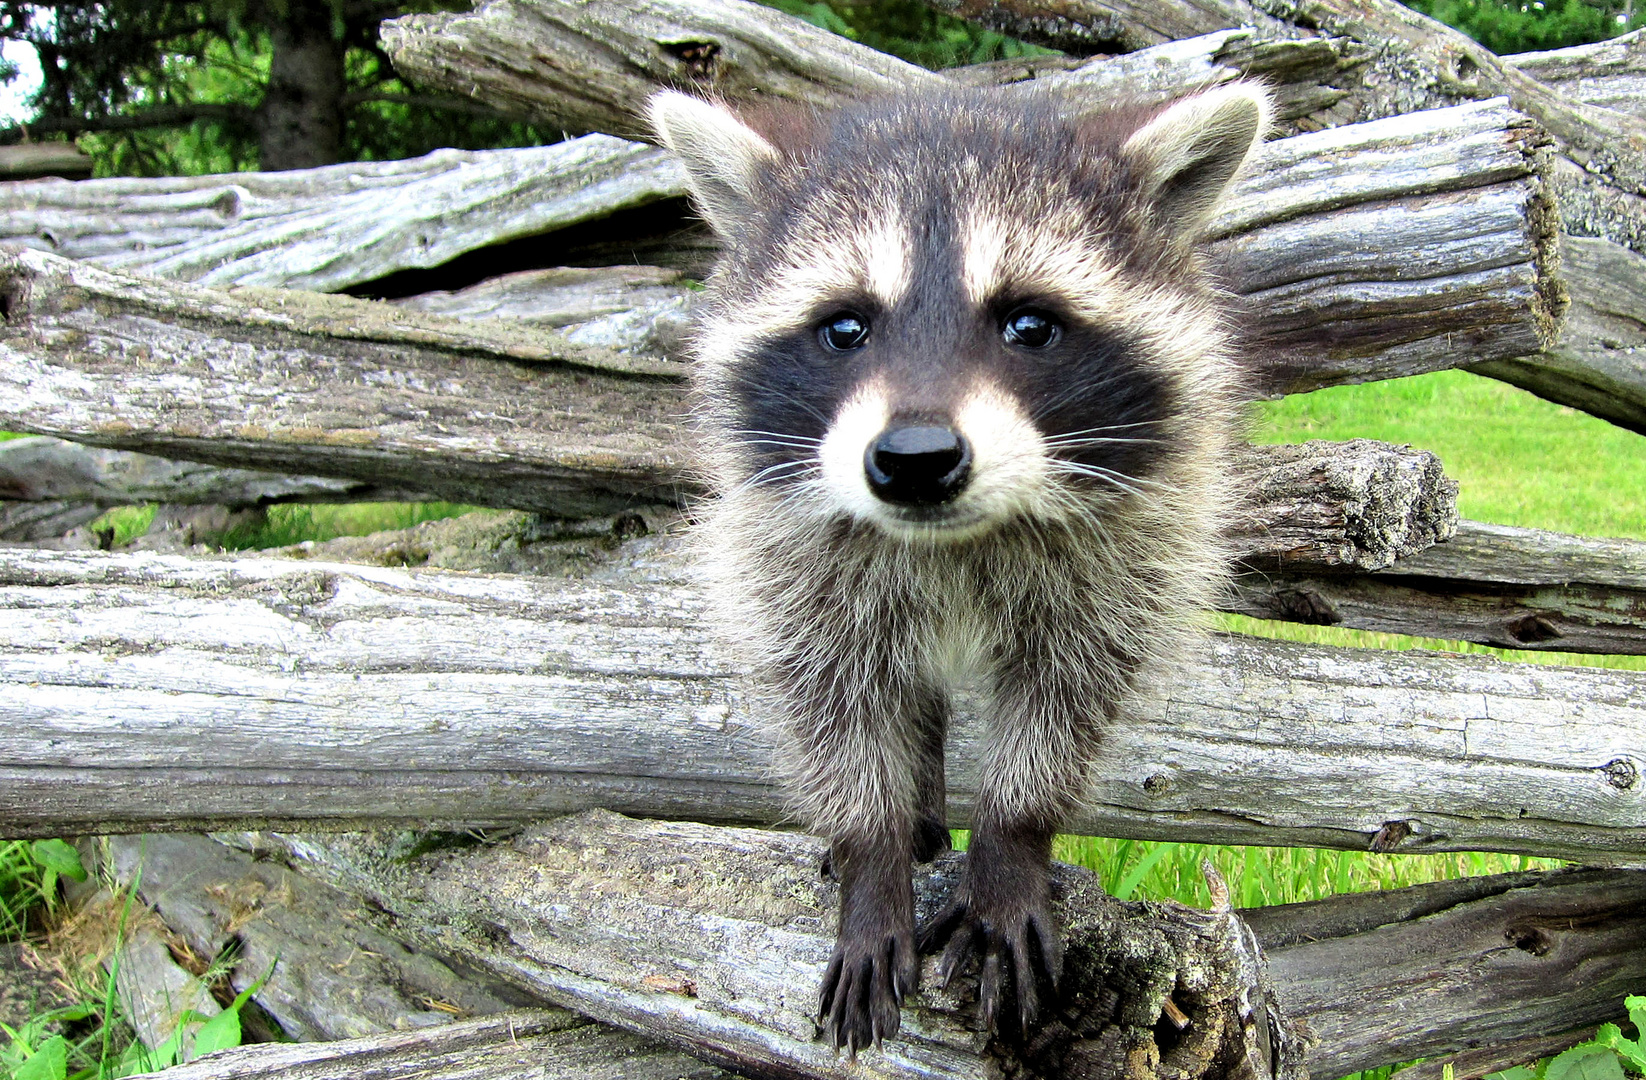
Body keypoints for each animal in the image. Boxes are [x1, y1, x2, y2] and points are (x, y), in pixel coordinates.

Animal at [648, 82, 1264, 1053]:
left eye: (1029, 324)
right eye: (845, 327)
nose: (914, 459)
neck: (950, 540)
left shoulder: (1134, 555)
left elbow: (1068, 702)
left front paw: (1010, 852)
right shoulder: (787, 563)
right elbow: (831, 707)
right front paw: (871, 859)